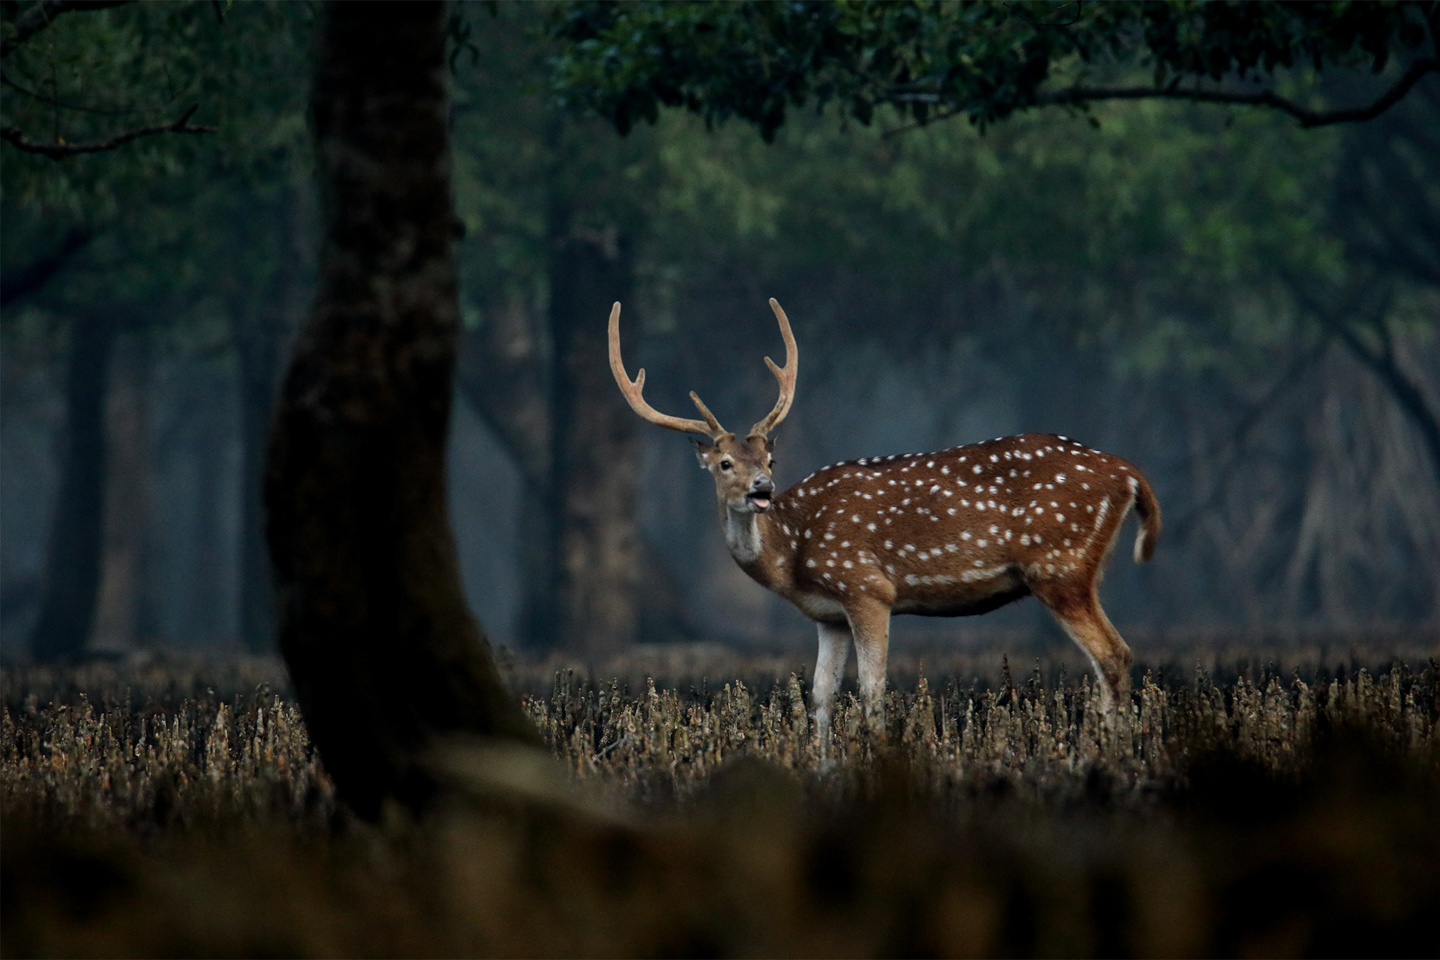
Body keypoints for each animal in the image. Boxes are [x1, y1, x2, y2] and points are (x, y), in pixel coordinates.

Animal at [608, 299, 1161, 748]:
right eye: (726, 464)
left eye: (768, 457)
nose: (761, 488)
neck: (794, 554)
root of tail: (1129, 475)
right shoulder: (827, 615)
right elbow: (821, 699)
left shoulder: (867, 586)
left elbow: (872, 694)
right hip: (1075, 569)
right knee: (1111, 658)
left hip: (1060, 565)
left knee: (1114, 655)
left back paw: (1105, 754)